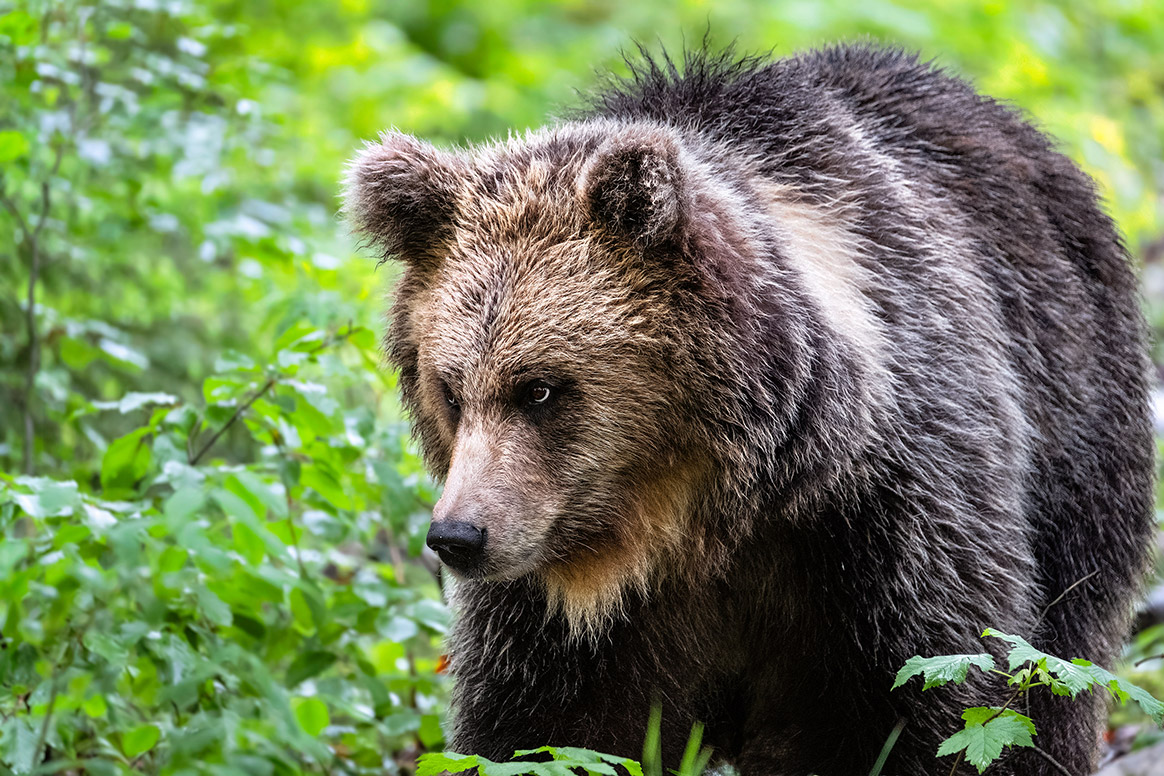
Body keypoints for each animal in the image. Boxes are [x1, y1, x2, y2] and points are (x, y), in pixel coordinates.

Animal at [342, 47, 1154, 776]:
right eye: (450, 388)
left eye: (538, 388)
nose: (457, 536)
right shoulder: (558, 617)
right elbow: (545, 733)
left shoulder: (889, 522)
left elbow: (941, 700)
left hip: (1077, 445)